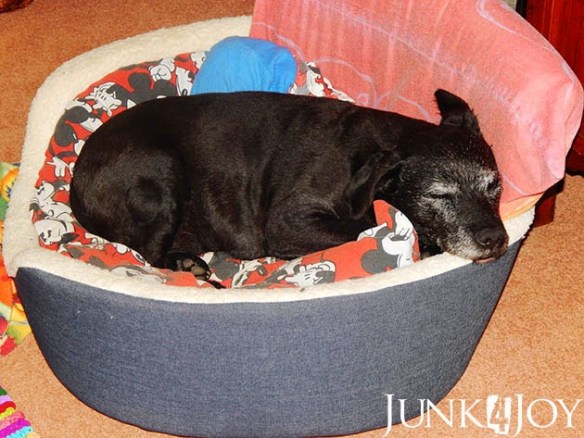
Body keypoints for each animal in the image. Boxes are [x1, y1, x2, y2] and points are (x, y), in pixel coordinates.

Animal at [70, 89, 508, 281]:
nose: (495, 239)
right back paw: (186, 264)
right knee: (151, 253)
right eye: (439, 194)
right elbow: (361, 228)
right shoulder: (289, 221)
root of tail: (76, 183)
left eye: (495, 187)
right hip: (162, 170)